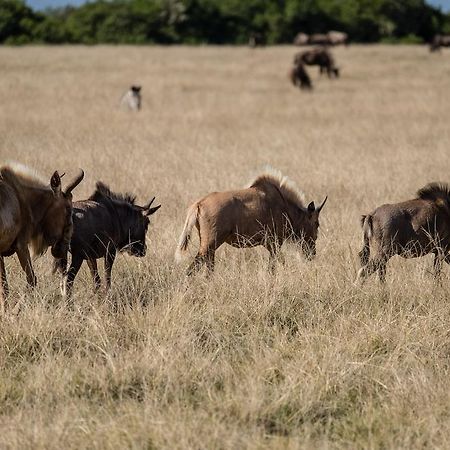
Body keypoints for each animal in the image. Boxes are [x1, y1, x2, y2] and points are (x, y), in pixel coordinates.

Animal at [0, 162, 83, 310]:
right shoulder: (21, 245)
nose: (62, 251)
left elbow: (3, 286)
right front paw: (14, 311)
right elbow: (32, 279)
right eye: (68, 209)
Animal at [174, 169, 326, 274]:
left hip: (211, 247)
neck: (284, 206)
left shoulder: (271, 245)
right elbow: (275, 266)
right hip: (209, 245)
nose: (312, 254)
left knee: (208, 269)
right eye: (316, 223)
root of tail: (199, 204)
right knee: (192, 268)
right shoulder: (274, 244)